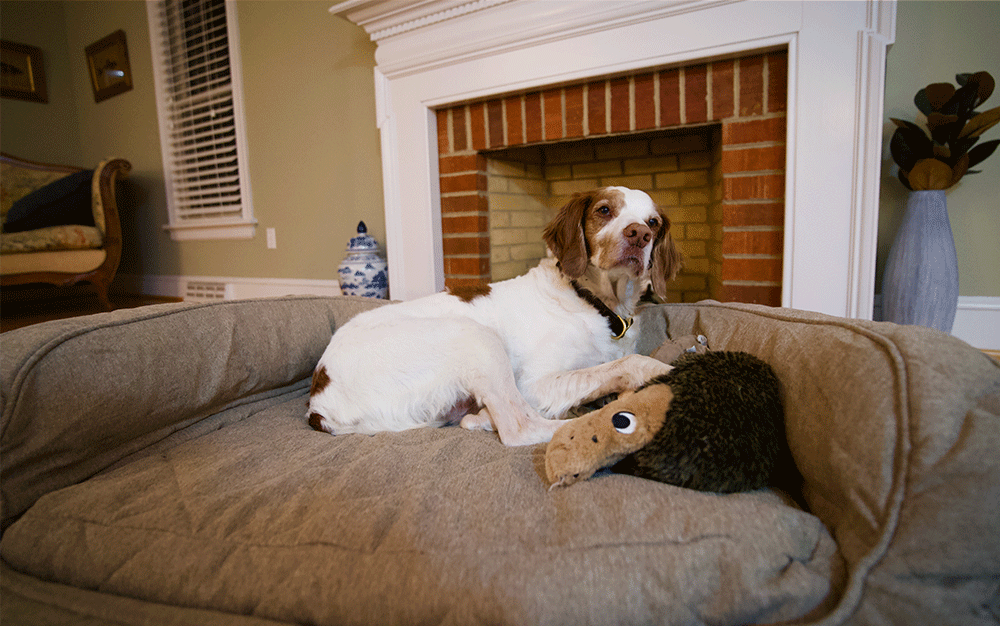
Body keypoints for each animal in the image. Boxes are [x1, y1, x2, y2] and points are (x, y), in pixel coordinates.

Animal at [308, 185, 684, 444]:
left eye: (653, 222)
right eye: (605, 210)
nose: (640, 234)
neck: (597, 304)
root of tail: (318, 404)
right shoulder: (533, 384)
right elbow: (631, 363)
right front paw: (666, 372)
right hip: (476, 336)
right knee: (521, 428)